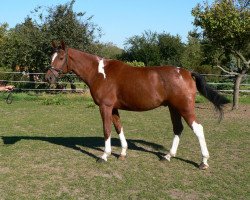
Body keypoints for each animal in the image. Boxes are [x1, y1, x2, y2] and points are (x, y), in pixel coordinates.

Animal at [46, 41, 229, 170]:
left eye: (61, 58)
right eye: (51, 58)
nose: (48, 77)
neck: (100, 73)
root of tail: (187, 72)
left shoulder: (105, 107)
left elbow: (107, 130)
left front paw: (104, 156)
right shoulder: (114, 108)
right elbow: (118, 127)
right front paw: (122, 153)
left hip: (185, 108)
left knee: (198, 129)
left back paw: (203, 162)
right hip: (173, 108)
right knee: (178, 129)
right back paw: (168, 156)